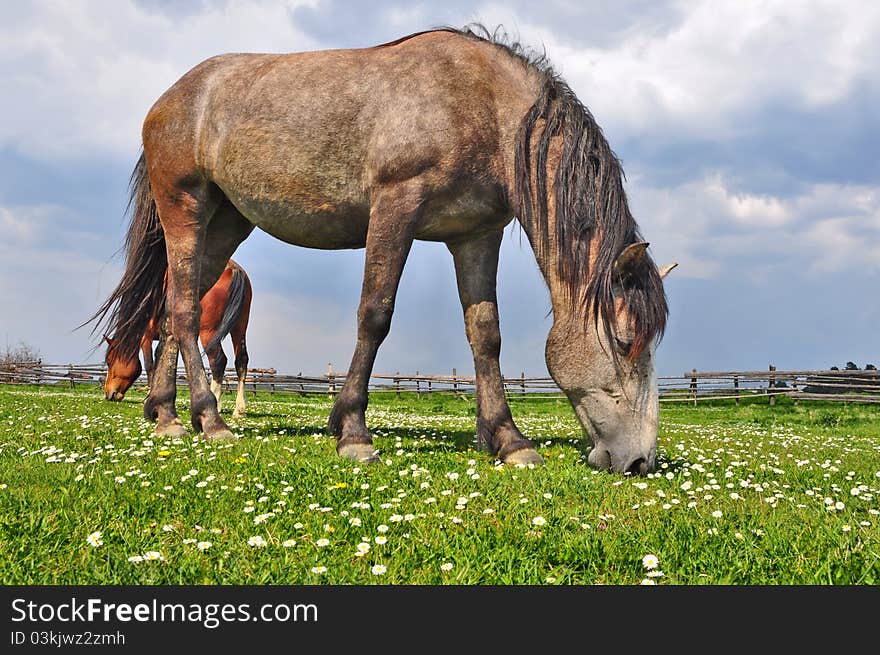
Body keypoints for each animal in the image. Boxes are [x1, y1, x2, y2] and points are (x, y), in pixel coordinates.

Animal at [102, 258, 251, 418]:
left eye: (109, 361)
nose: (108, 394)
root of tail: (233, 268)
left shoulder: (146, 338)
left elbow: (150, 365)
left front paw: (148, 398)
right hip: (239, 329)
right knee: (241, 361)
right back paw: (239, 410)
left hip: (209, 333)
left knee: (218, 361)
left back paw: (215, 404)